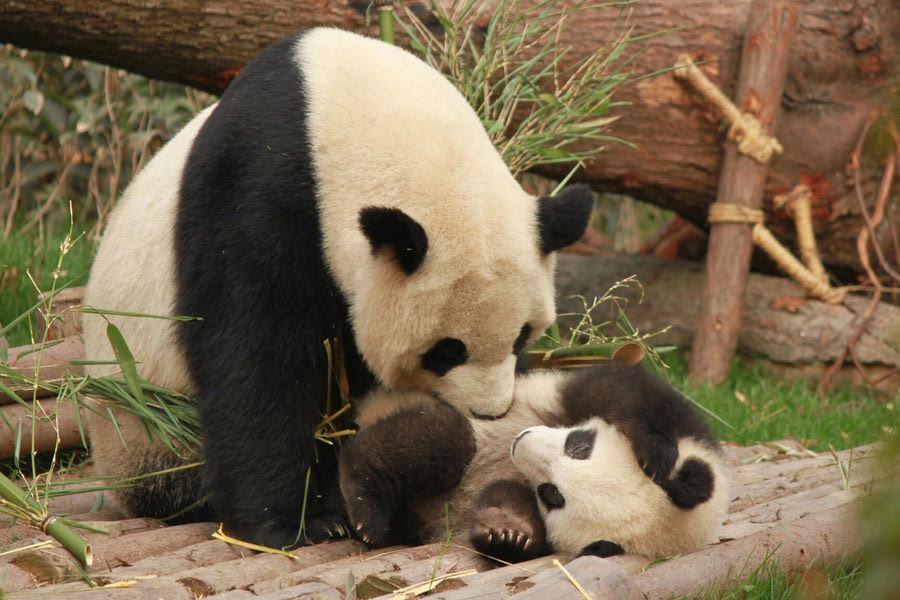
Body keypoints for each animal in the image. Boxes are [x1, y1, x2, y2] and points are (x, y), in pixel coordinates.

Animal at [82, 29, 592, 552]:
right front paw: (288, 524)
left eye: (522, 336)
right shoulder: (256, 191)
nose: (488, 412)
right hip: (144, 424)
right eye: (447, 350)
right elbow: (255, 359)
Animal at [340, 360, 732, 564]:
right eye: (579, 446)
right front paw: (654, 449)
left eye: (552, 494)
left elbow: (511, 504)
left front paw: (507, 532)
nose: (521, 441)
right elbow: (621, 387)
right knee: (442, 441)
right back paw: (364, 504)